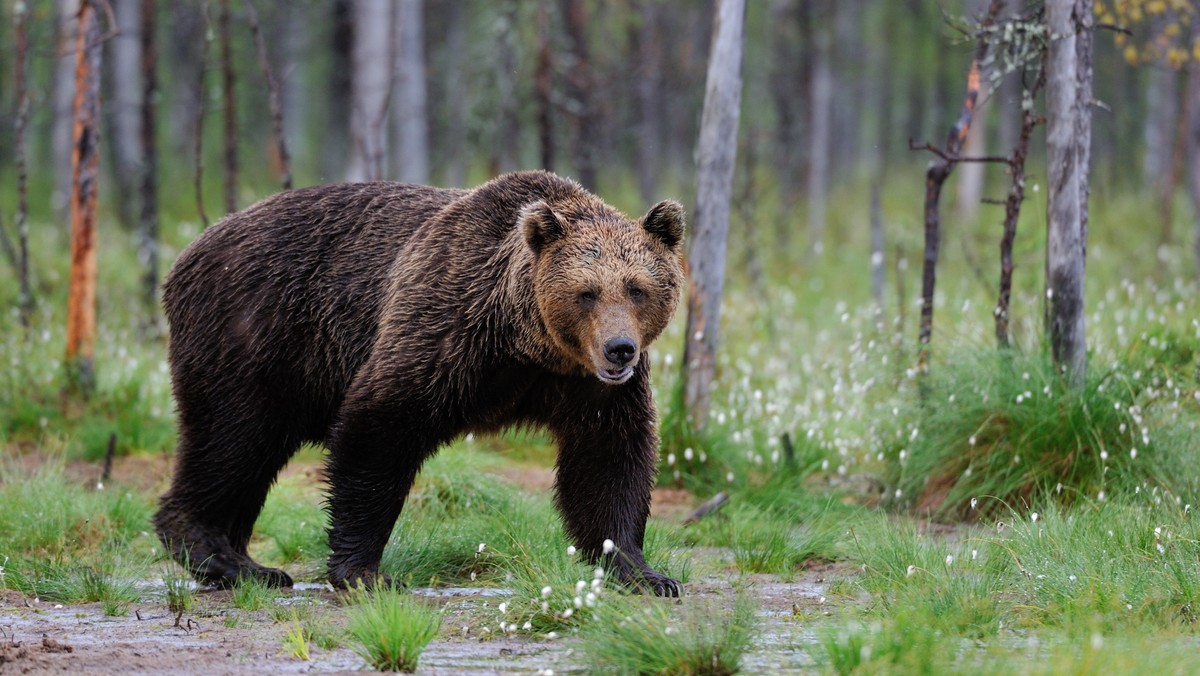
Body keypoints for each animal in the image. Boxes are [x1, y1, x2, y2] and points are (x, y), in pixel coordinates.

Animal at [154, 170, 691, 597]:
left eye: (637, 288)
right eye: (586, 292)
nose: (619, 348)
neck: (527, 344)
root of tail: (190, 248)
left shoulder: (587, 386)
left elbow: (608, 459)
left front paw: (642, 572)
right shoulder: (447, 328)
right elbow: (380, 428)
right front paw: (365, 572)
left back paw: (248, 564)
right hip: (254, 333)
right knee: (233, 438)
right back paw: (218, 554)